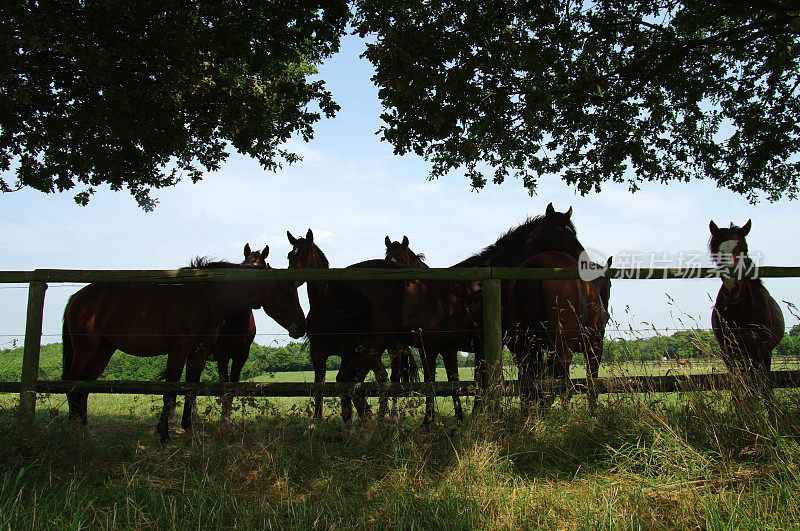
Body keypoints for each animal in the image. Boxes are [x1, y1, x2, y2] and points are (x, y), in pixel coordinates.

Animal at [61, 247, 306, 442]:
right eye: (286, 292)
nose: (301, 326)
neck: (203, 297)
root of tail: (77, 298)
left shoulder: (199, 352)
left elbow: (191, 389)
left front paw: (189, 430)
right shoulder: (179, 352)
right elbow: (170, 390)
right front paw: (164, 435)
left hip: (103, 350)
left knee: (84, 385)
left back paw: (86, 429)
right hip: (86, 349)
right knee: (72, 382)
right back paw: (73, 429)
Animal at [286, 231, 406, 426]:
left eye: (304, 254)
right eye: (289, 255)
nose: (290, 281)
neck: (326, 304)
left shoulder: (345, 351)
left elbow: (343, 380)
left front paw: (352, 418)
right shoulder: (317, 352)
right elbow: (319, 386)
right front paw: (316, 422)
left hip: (390, 348)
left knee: (391, 378)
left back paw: (389, 416)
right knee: (380, 376)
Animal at [708, 219, 784, 400]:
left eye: (745, 250)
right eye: (716, 253)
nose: (731, 289)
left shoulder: (763, 350)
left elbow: (765, 387)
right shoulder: (728, 352)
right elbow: (738, 388)